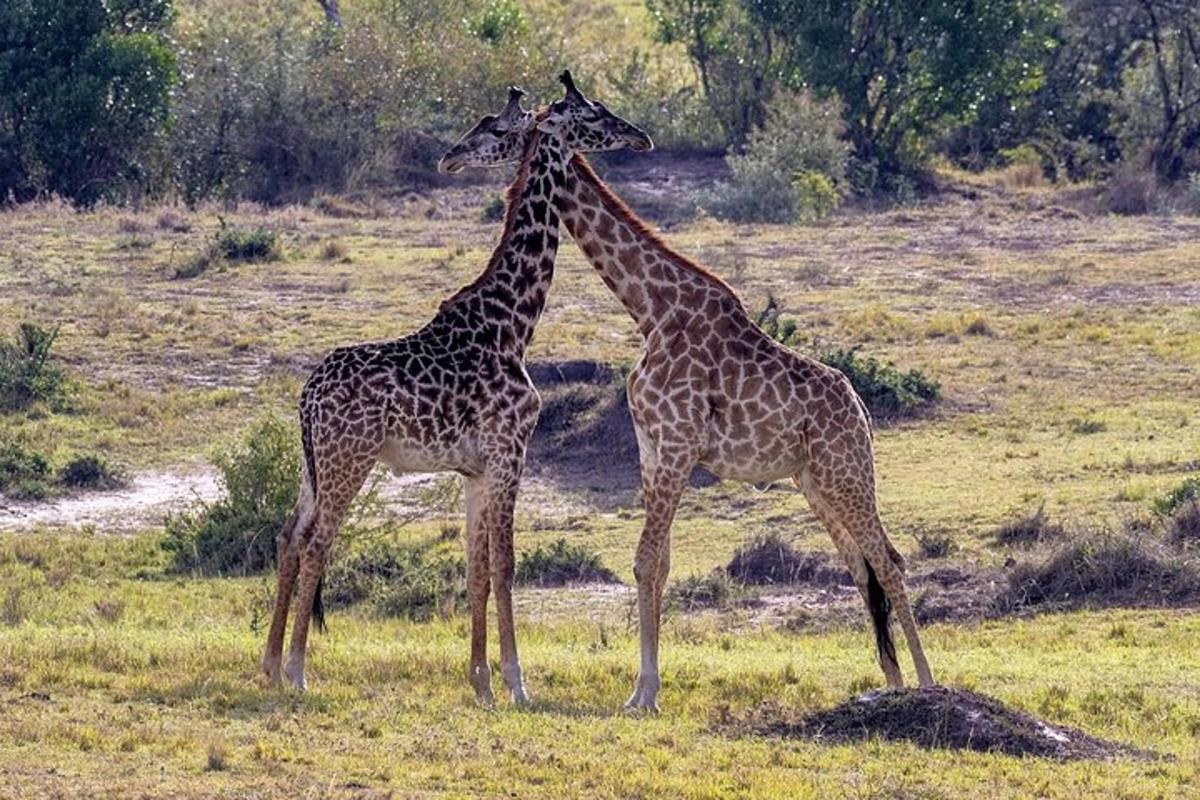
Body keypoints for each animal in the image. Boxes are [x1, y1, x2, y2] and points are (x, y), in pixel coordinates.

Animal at [262, 81, 652, 705]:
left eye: (491, 128)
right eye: (593, 115)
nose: (640, 136)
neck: (512, 323)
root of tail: (306, 398)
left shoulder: (474, 469)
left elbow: (475, 569)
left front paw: (481, 682)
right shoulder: (510, 451)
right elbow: (506, 565)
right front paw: (517, 683)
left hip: (312, 463)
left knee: (288, 536)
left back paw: (271, 665)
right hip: (350, 458)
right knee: (320, 541)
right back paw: (299, 671)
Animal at [453, 84, 931, 710]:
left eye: (497, 128)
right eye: (597, 114)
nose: (451, 156)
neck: (652, 309)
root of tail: (863, 413)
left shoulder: (678, 446)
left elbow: (645, 561)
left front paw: (644, 694)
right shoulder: (653, 449)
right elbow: (656, 565)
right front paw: (644, 688)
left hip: (846, 472)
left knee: (889, 560)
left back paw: (928, 684)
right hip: (815, 481)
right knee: (860, 563)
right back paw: (893, 686)